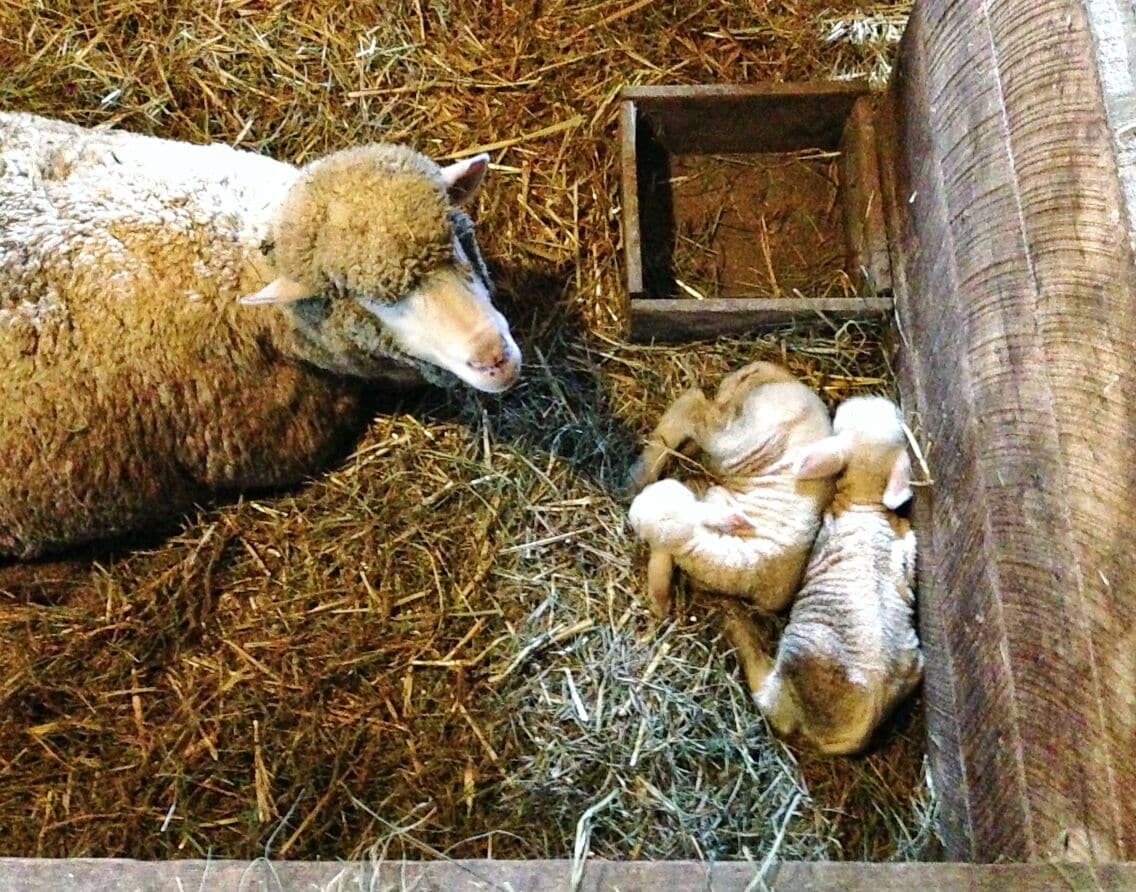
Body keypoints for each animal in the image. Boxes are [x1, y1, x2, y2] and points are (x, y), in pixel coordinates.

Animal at [626, 361, 837, 618]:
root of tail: (791, 383)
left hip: (736, 436)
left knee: (697, 409)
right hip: (738, 434)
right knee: (693, 405)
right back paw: (641, 473)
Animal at [728, 395, 923, 756]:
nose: (866, 399)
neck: (866, 501)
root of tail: (853, 732)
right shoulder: (905, 537)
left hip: (794, 662)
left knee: (767, 696)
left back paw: (737, 624)